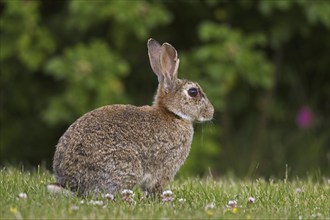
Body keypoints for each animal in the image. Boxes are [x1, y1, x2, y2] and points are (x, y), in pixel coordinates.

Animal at [52, 39, 214, 196]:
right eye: (193, 92)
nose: (211, 112)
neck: (173, 114)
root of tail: (70, 183)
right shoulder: (164, 169)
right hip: (126, 166)